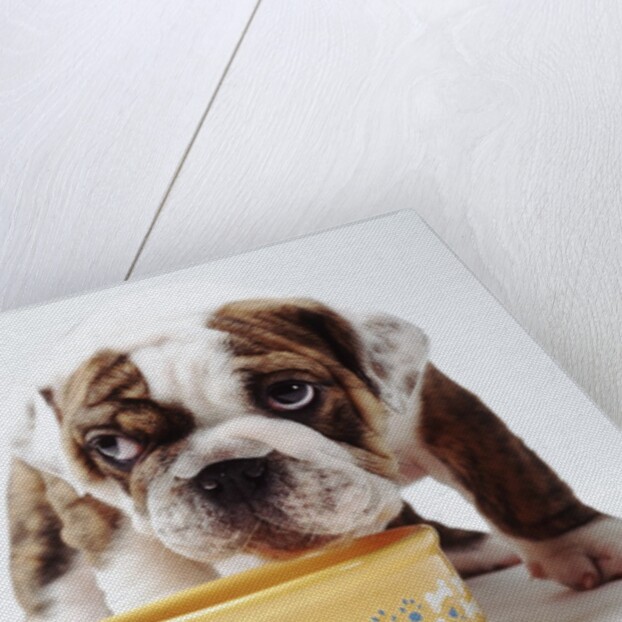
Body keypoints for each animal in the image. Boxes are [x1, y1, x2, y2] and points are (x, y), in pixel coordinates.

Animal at [8, 300, 622, 620]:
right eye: (113, 447)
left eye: (292, 393)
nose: (227, 469)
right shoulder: (104, 522)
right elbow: (158, 571)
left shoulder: (432, 406)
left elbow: (515, 480)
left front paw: (578, 545)